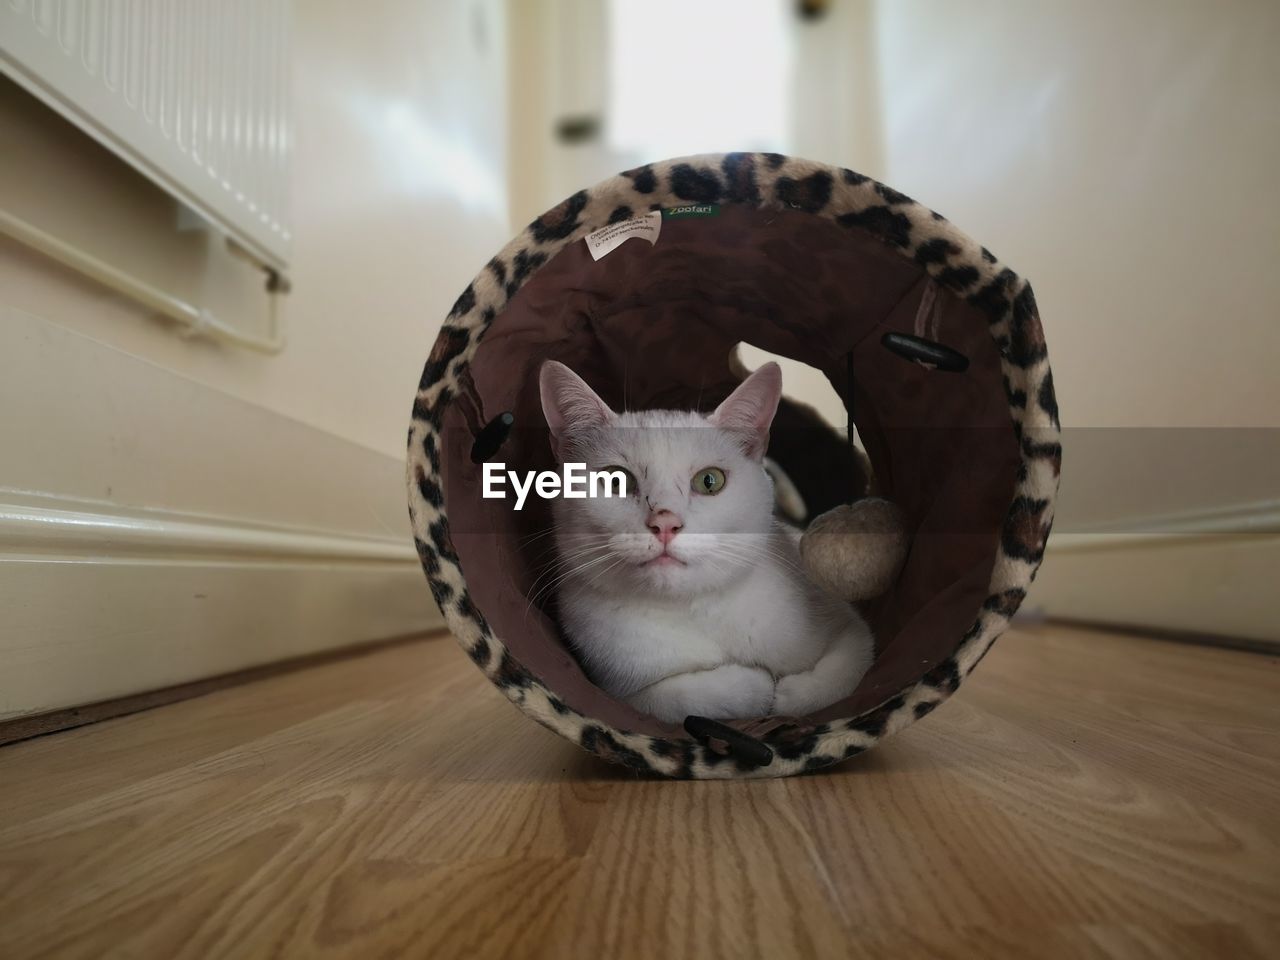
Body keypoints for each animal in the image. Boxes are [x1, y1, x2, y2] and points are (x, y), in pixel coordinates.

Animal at [535, 360, 875, 721]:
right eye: (615, 480)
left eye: (709, 481)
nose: (665, 522)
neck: (694, 608)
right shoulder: (617, 688)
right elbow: (678, 700)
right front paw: (754, 684)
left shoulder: (845, 622)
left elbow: (848, 661)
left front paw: (791, 695)